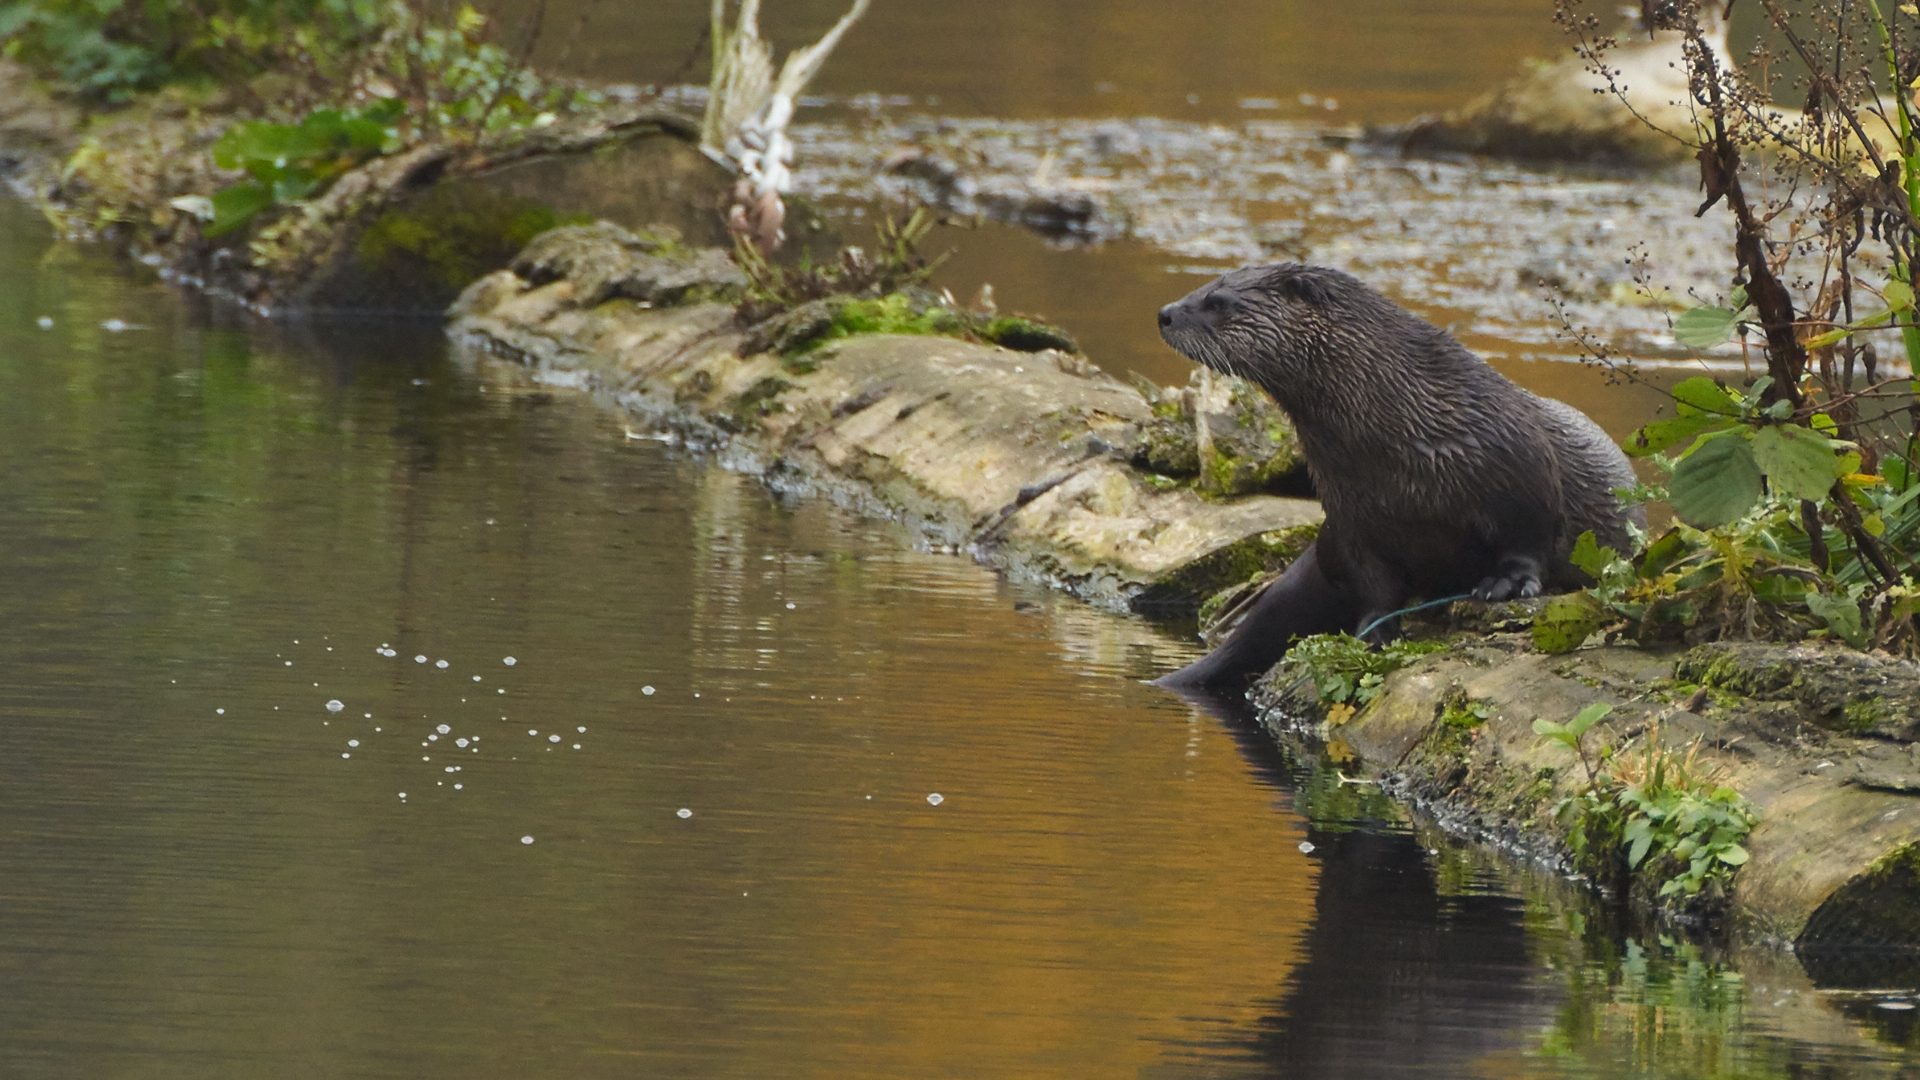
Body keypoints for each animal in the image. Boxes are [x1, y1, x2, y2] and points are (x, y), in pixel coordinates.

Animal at [1144, 261, 1643, 680]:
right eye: (1204, 285)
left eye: (1218, 301)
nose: (1164, 314)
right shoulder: (1353, 518)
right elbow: (1375, 587)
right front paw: (1374, 631)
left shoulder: (1524, 476)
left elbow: (1530, 541)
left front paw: (1507, 584)